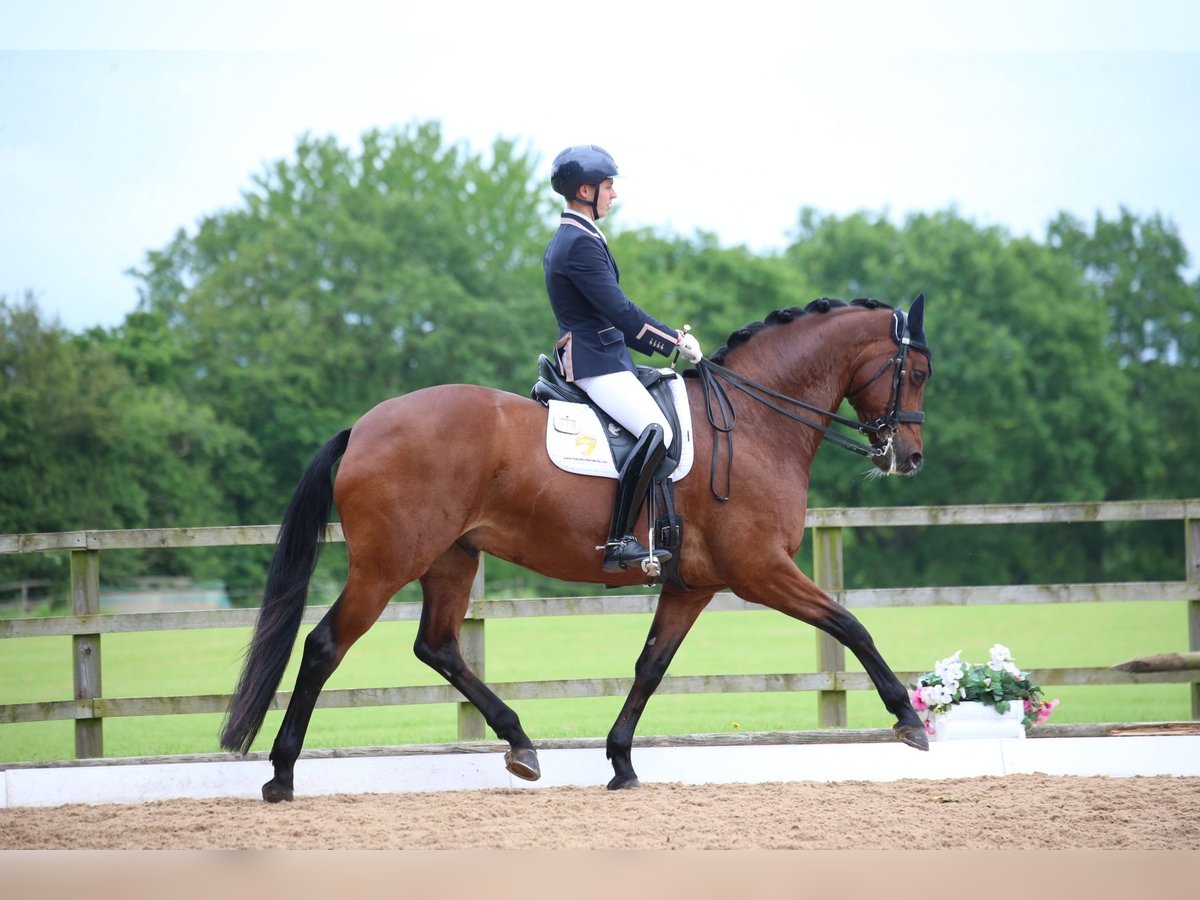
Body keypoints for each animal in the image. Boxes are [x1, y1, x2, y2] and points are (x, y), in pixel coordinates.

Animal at [223, 292, 936, 801]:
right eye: (920, 372)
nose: (907, 457)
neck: (756, 424)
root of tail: (364, 426)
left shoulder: (693, 585)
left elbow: (650, 667)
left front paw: (620, 761)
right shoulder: (760, 569)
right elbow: (850, 623)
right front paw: (909, 718)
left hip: (453, 557)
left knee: (438, 645)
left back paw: (521, 745)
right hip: (387, 564)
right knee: (325, 646)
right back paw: (281, 775)